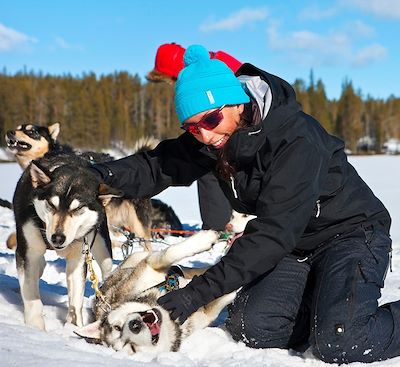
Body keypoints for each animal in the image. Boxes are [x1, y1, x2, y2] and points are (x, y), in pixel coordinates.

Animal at [13, 152, 122, 330]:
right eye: (51, 204)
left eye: (78, 208)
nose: (57, 238)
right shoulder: (28, 253)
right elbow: (32, 296)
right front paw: (35, 328)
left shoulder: (79, 258)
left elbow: (76, 300)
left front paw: (73, 328)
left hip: (103, 248)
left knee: (107, 269)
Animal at [76, 231, 236, 356]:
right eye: (131, 348)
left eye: (117, 327)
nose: (134, 325)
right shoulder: (205, 314)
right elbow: (221, 294)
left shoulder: (149, 267)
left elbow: (169, 254)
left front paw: (206, 239)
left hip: (138, 259)